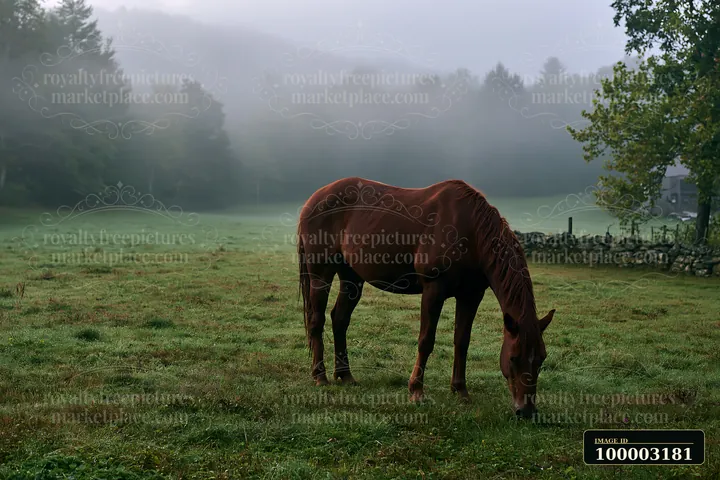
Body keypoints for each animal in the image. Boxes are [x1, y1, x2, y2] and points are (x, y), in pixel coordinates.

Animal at [297, 177, 555, 418]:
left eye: (541, 359)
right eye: (513, 358)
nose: (526, 410)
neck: (470, 232)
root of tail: (312, 200)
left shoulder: (471, 296)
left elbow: (462, 341)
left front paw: (460, 391)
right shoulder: (434, 290)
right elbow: (426, 341)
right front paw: (416, 392)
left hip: (351, 278)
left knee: (340, 319)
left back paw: (345, 375)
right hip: (321, 274)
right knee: (317, 321)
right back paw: (320, 377)